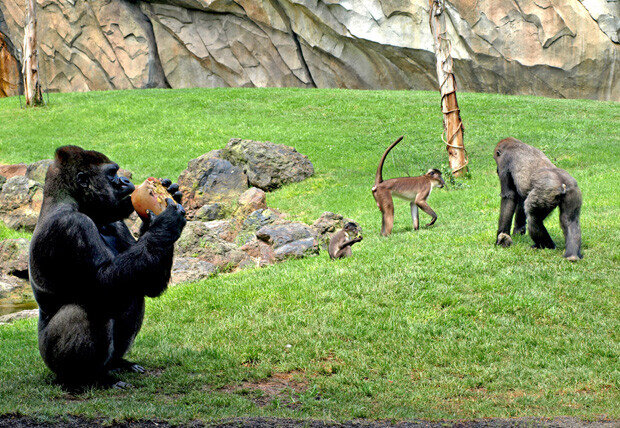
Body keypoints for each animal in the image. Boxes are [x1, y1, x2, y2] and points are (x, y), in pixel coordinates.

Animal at [29, 145, 184, 386]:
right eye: (112, 174)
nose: (125, 181)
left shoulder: (116, 220)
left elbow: (147, 282)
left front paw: (166, 202)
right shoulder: (71, 226)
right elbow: (103, 285)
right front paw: (166, 223)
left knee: (133, 290)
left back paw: (116, 364)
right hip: (49, 359)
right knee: (91, 307)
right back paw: (89, 378)